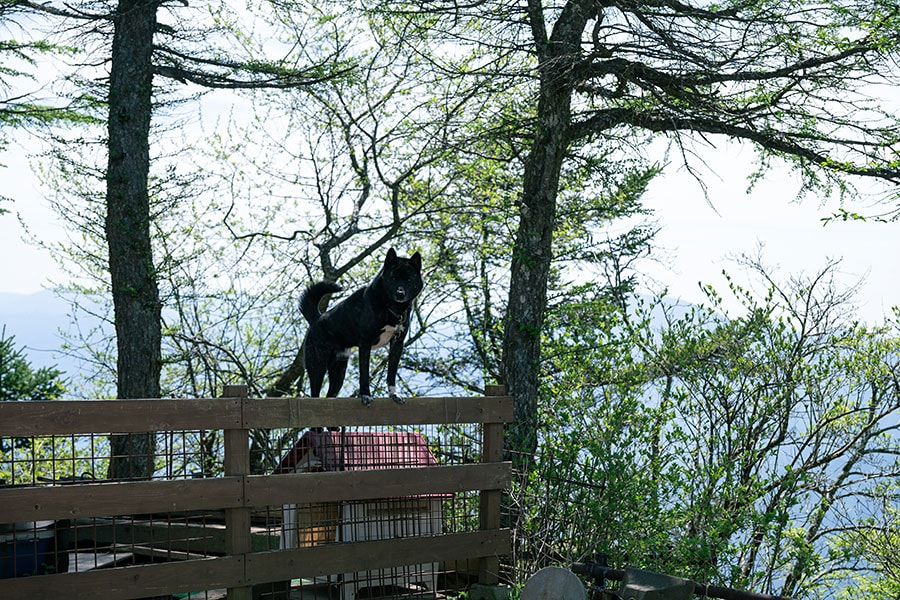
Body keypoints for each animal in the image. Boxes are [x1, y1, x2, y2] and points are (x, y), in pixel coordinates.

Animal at [300, 248, 424, 408]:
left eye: (409, 279)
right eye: (393, 278)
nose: (400, 293)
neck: (391, 308)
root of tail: (316, 319)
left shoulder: (397, 344)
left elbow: (391, 373)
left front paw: (394, 394)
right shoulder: (365, 344)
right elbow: (364, 373)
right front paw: (366, 395)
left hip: (339, 371)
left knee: (330, 395)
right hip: (317, 366)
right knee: (315, 394)